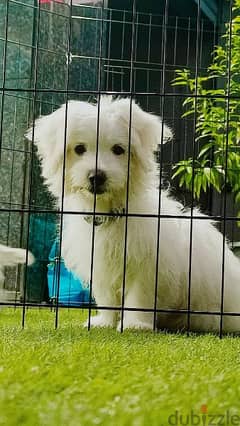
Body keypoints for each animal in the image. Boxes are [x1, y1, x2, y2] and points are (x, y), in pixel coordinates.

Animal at [27, 96, 240, 332]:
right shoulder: (101, 265)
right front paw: (105, 322)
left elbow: (139, 296)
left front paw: (134, 324)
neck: (112, 213)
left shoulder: (146, 265)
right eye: (79, 149)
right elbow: (106, 296)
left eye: (118, 149)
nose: (96, 176)